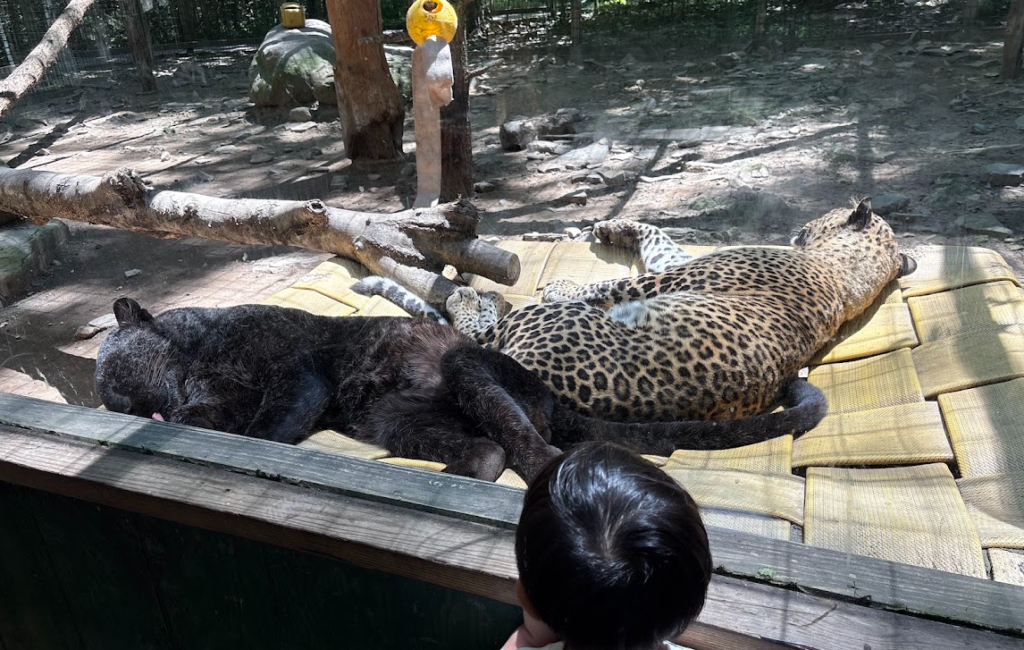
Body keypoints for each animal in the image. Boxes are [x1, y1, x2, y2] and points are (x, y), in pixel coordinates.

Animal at [357, 199, 915, 427]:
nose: (800, 225)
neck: (847, 278)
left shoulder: (668, 279)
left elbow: (605, 284)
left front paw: (560, 283)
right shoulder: (676, 263)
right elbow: (658, 237)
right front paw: (616, 227)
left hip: (531, 328)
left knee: (478, 326)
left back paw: (472, 297)